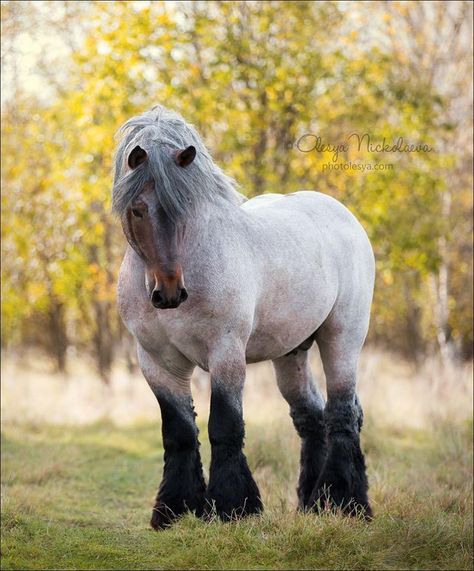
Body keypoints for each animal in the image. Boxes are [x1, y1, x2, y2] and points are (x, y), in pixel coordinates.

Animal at [113, 105, 376, 528]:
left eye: (186, 208)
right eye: (138, 210)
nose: (169, 293)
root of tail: (342, 215)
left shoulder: (226, 353)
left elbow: (224, 427)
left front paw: (232, 506)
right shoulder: (157, 362)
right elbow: (179, 432)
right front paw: (173, 508)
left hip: (342, 337)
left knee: (342, 414)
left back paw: (344, 502)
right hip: (291, 353)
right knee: (311, 417)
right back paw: (312, 503)